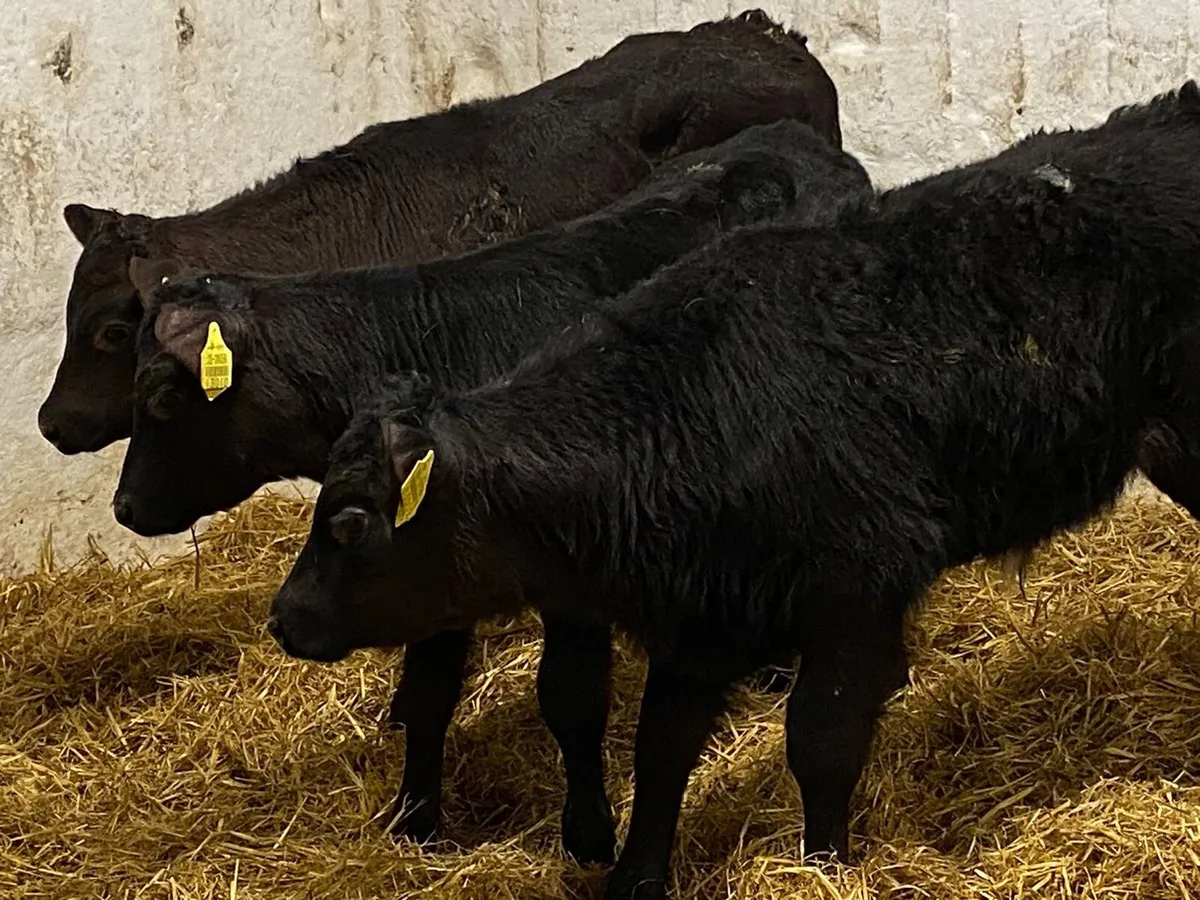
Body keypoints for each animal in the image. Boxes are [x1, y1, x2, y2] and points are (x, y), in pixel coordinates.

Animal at [110, 120, 875, 865]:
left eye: (162, 397)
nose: (124, 507)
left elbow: (570, 696)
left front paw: (588, 833)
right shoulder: (421, 575)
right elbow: (427, 694)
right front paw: (416, 820)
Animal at [266, 82, 1200, 900]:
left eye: (350, 519)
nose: (283, 617)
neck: (690, 410)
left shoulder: (852, 586)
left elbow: (821, 742)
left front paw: (823, 866)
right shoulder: (700, 621)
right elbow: (659, 751)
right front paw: (635, 876)